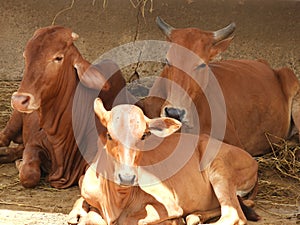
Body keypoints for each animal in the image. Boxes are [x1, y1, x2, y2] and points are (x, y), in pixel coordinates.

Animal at [0, 25, 134, 188]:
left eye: (58, 58)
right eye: (25, 56)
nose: (19, 100)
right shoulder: (35, 142)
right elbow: (28, 175)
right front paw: (21, 165)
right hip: (16, 117)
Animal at [67, 98, 258, 225]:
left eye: (144, 135)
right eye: (109, 134)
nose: (127, 177)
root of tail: (254, 162)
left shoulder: (168, 202)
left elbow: (130, 220)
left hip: (220, 169)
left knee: (234, 216)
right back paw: (193, 217)